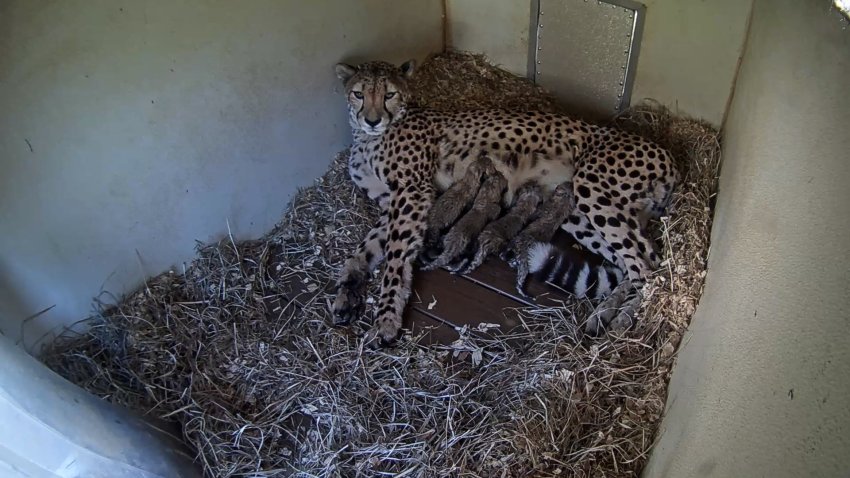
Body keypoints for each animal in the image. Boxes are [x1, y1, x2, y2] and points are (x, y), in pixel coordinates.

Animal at [331, 59, 678, 345]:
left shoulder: (412, 192)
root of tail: (666, 154)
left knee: (647, 266)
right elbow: (364, 249)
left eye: (389, 94)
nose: (373, 120)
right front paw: (347, 290)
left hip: (592, 190)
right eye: (358, 94)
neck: (368, 138)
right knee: (634, 262)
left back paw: (620, 318)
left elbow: (395, 257)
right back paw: (603, 313)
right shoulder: (392, 202)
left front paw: (386, 319)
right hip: (579, 212)